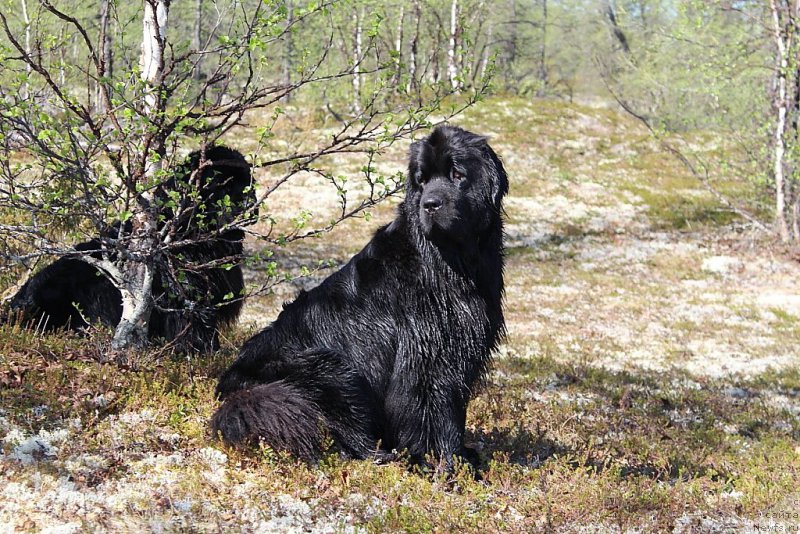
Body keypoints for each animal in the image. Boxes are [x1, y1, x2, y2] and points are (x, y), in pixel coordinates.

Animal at [5, 148, 253, 356]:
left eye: (248, 183)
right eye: (223, 185)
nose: (248, 205)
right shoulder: (189, 294)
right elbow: (196, 324)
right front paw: (205, 355)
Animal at [212, 126, 506, 468]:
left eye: (457, 174)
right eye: (421, 180)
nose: (430, 204)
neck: (447, 262)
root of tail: (231, 389)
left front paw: (464, 457)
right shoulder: (426, 357)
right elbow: (431, 410)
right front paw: (443, 464)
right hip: (330, 371)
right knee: (345, 431)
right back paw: (380, 455)